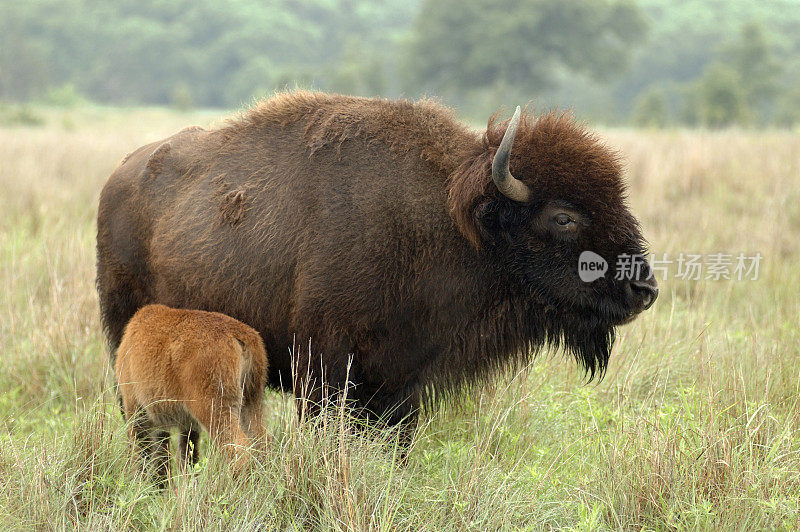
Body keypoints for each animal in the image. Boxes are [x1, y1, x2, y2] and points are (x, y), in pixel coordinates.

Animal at [95, 91, 656, 438]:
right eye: (563, 216)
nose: (644, 289)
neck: (452, 222)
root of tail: (119, 176)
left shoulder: (404, 384)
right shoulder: (324, 373)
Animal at [114, 304, 268, 482]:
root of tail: (239, 334)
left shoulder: (135, 409)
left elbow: (141, 452)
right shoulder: (185, 423)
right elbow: (185, 456)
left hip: (215, 409)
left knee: (240, 449)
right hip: (251, 403)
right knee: (262, 442)